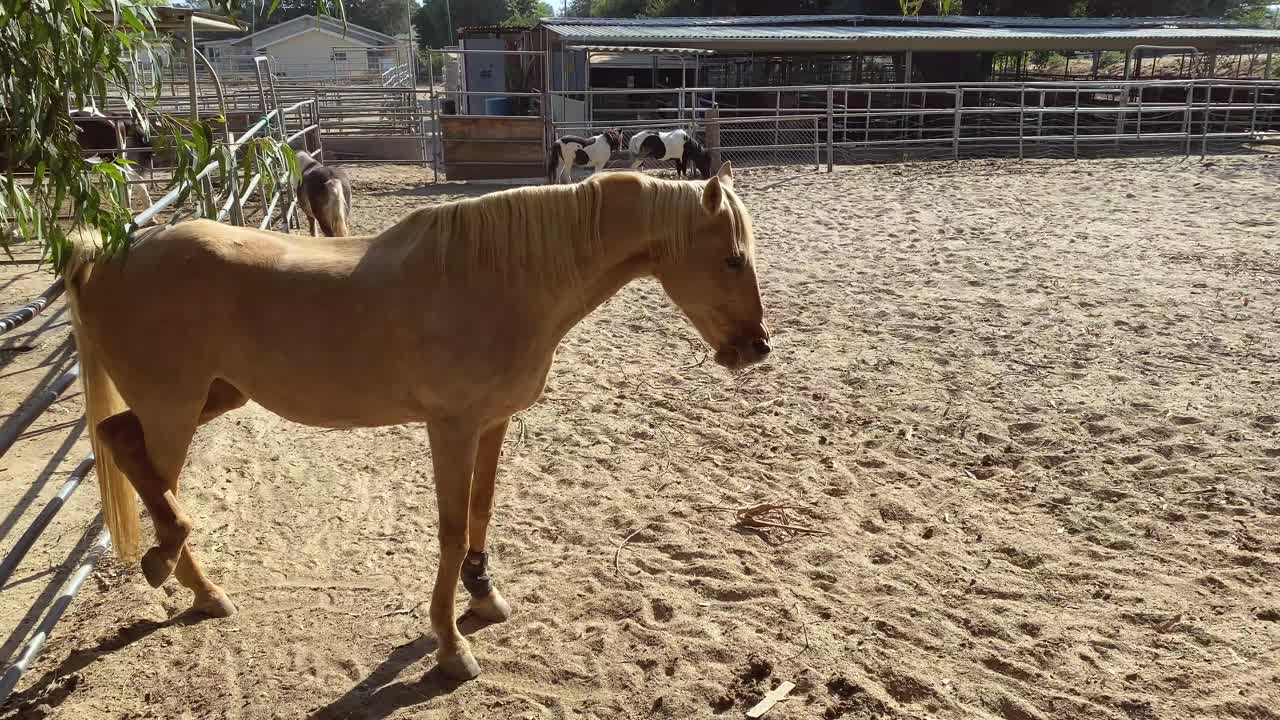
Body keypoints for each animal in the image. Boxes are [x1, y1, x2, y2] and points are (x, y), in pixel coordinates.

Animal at [62, 161, 769, 682]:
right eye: (732, 258)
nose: (757, 349)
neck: (502, 277)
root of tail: (112, 255)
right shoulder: (450, 427)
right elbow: (452, 530)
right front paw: (452, 647)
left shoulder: (491, 422)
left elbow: (482, 509)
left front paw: (484, 594)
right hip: (175, 407)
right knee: (151, 473)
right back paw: (178, 570)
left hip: (217, 396)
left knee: (122, 441)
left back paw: (196, 585)